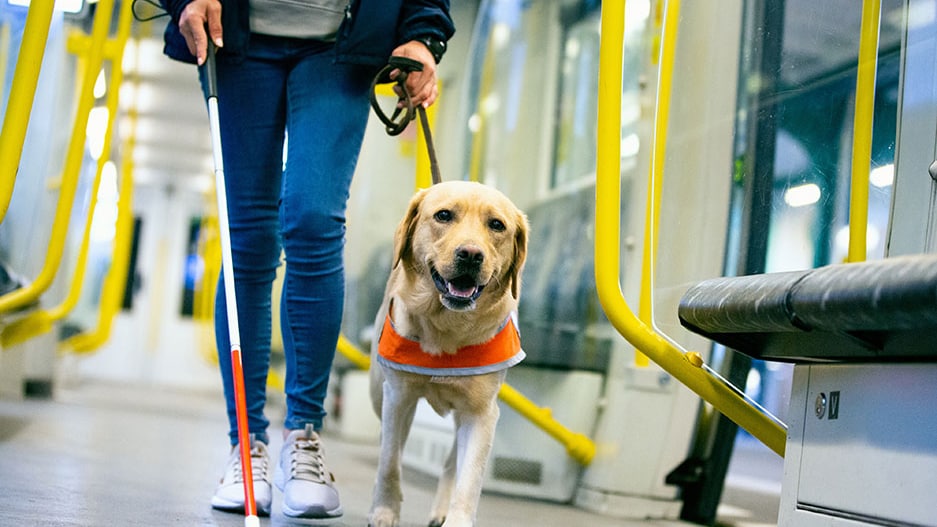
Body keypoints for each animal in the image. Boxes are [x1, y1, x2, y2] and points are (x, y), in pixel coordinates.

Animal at [368, 183, 528, 527]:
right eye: (443, 215)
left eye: (497, 225)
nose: (471, 254)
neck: (447, 328)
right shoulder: (397, 397)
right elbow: (390, 461)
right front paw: (384, 510)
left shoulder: (482, 413)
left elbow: (469, 479)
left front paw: (457, 518)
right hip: (379, 393)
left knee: (452, 462)